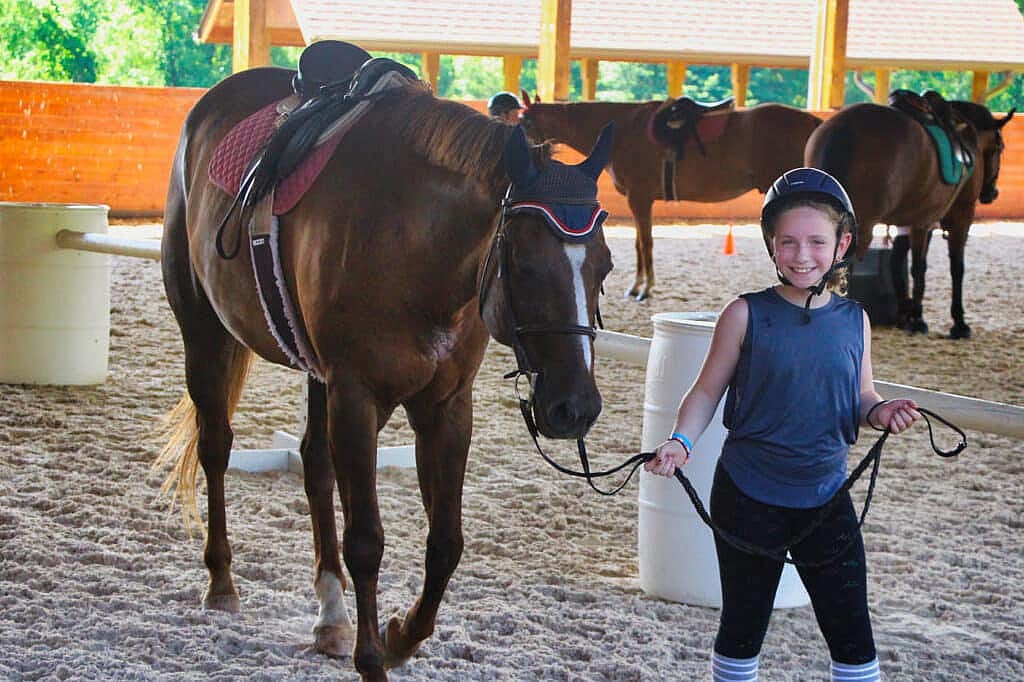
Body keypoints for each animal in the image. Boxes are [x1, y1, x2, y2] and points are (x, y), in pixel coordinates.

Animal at [156, 61, 615, 681]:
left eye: (605, 266)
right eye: (522, 263)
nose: (576, 408)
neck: (413, 243)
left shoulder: (446, 407)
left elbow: (445, 541)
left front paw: (401, 637)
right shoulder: (356, 397)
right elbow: (367, 540)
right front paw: (373, 658)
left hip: (315, 374)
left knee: (314, 463)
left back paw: (331, 615)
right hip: (204, 334)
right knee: (216, 447)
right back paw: (222, 582)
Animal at [519, 94, 821, 300]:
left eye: (526, 122)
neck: (623, 130)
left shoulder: (639, 197)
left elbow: (646, 243)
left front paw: (644, 288)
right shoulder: (638, 200)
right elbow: (639, 243)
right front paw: (638, 287)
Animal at [805, 99, 1014, 338]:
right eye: (999, 148)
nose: (992, 193)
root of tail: (843, 127)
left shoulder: (920, 221)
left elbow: (907, 264)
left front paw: (912, 316)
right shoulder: (959, 217)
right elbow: (950, 268)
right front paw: (956, 323)